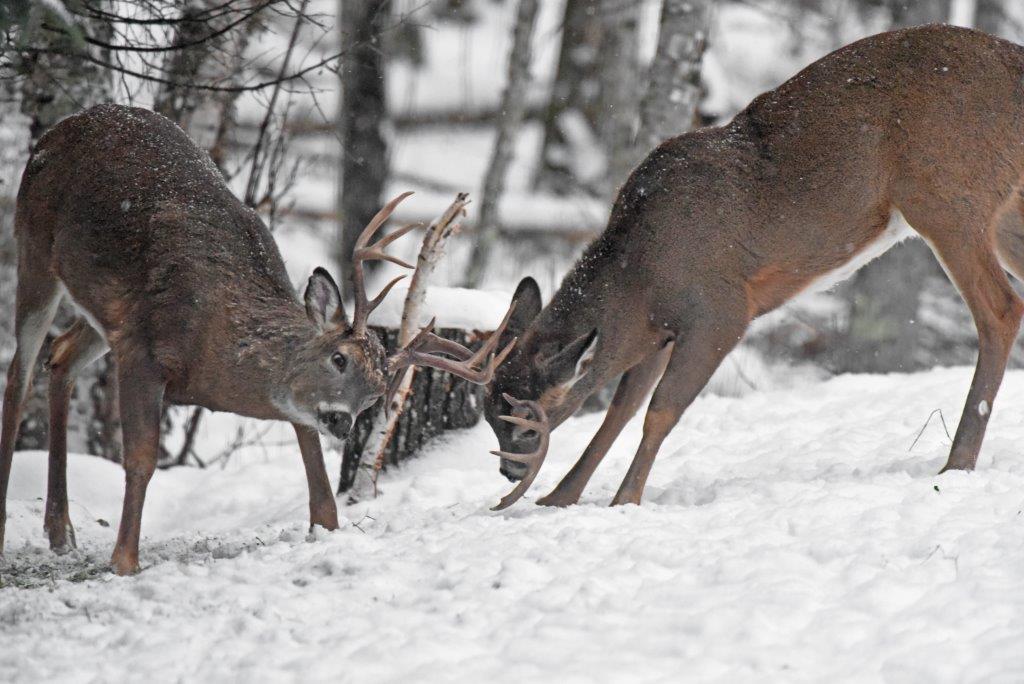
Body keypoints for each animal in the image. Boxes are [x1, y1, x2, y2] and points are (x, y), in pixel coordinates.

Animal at [0, 104, 514, 574]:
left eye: (377, 394)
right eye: (339, 358)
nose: (342, 421)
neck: (213, 347)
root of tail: (61, 127)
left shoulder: (290, 405)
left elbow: (321, 490)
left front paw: (326, 528)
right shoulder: (143, 351)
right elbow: (142, 460)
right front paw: (124, 561)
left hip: (98, 312)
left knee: (60, 356)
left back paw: (60, 532)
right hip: (33, 245)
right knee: (19, 374)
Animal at [482, 24, 1024, 510]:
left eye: (524, 420)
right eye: (488, 414)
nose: (508, 471)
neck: (642, 270)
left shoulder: (720, 310)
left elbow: (659, 410)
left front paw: (624, 501)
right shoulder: (659, 327)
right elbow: (620, 409)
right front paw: (560, 497)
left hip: (947, 197)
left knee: (1001, 310)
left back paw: (957, 463)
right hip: (1000, 212)